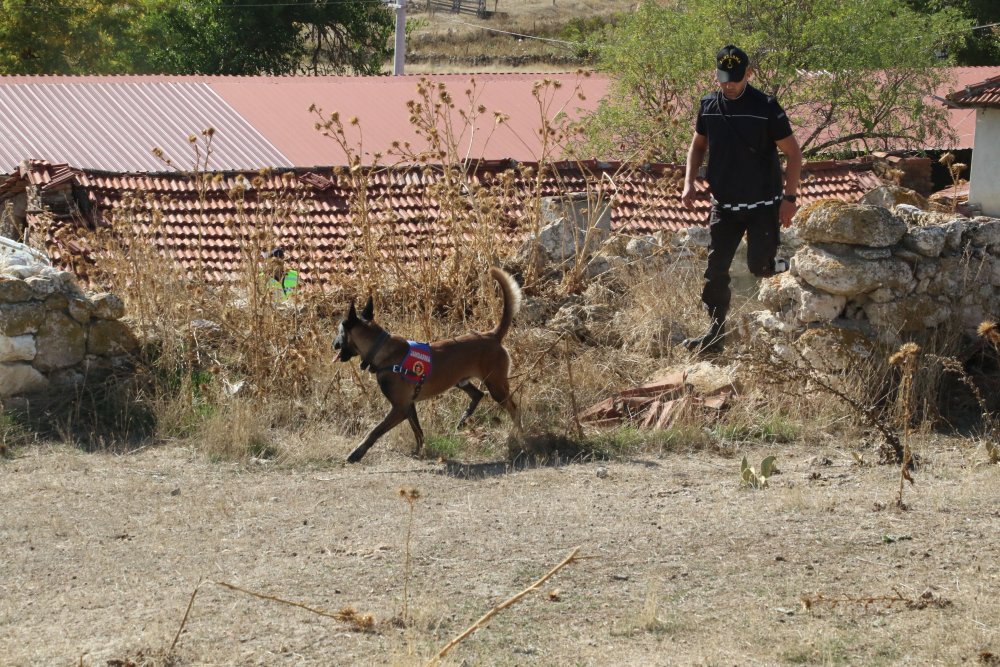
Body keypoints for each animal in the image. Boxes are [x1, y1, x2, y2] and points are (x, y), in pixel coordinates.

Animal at [334, 266, 524, 464]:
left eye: (339, 331)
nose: (334, 344)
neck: (381, 348)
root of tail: (492, 335)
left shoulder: (400, 408)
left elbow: (375, 431)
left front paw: (357, 452)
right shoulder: (409, 406)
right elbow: (418, 431)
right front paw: (420, 452)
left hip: (496, 386)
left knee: (515, 410)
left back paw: (518, 439)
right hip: (460, 381)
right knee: (478, 394)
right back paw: (464, 419)